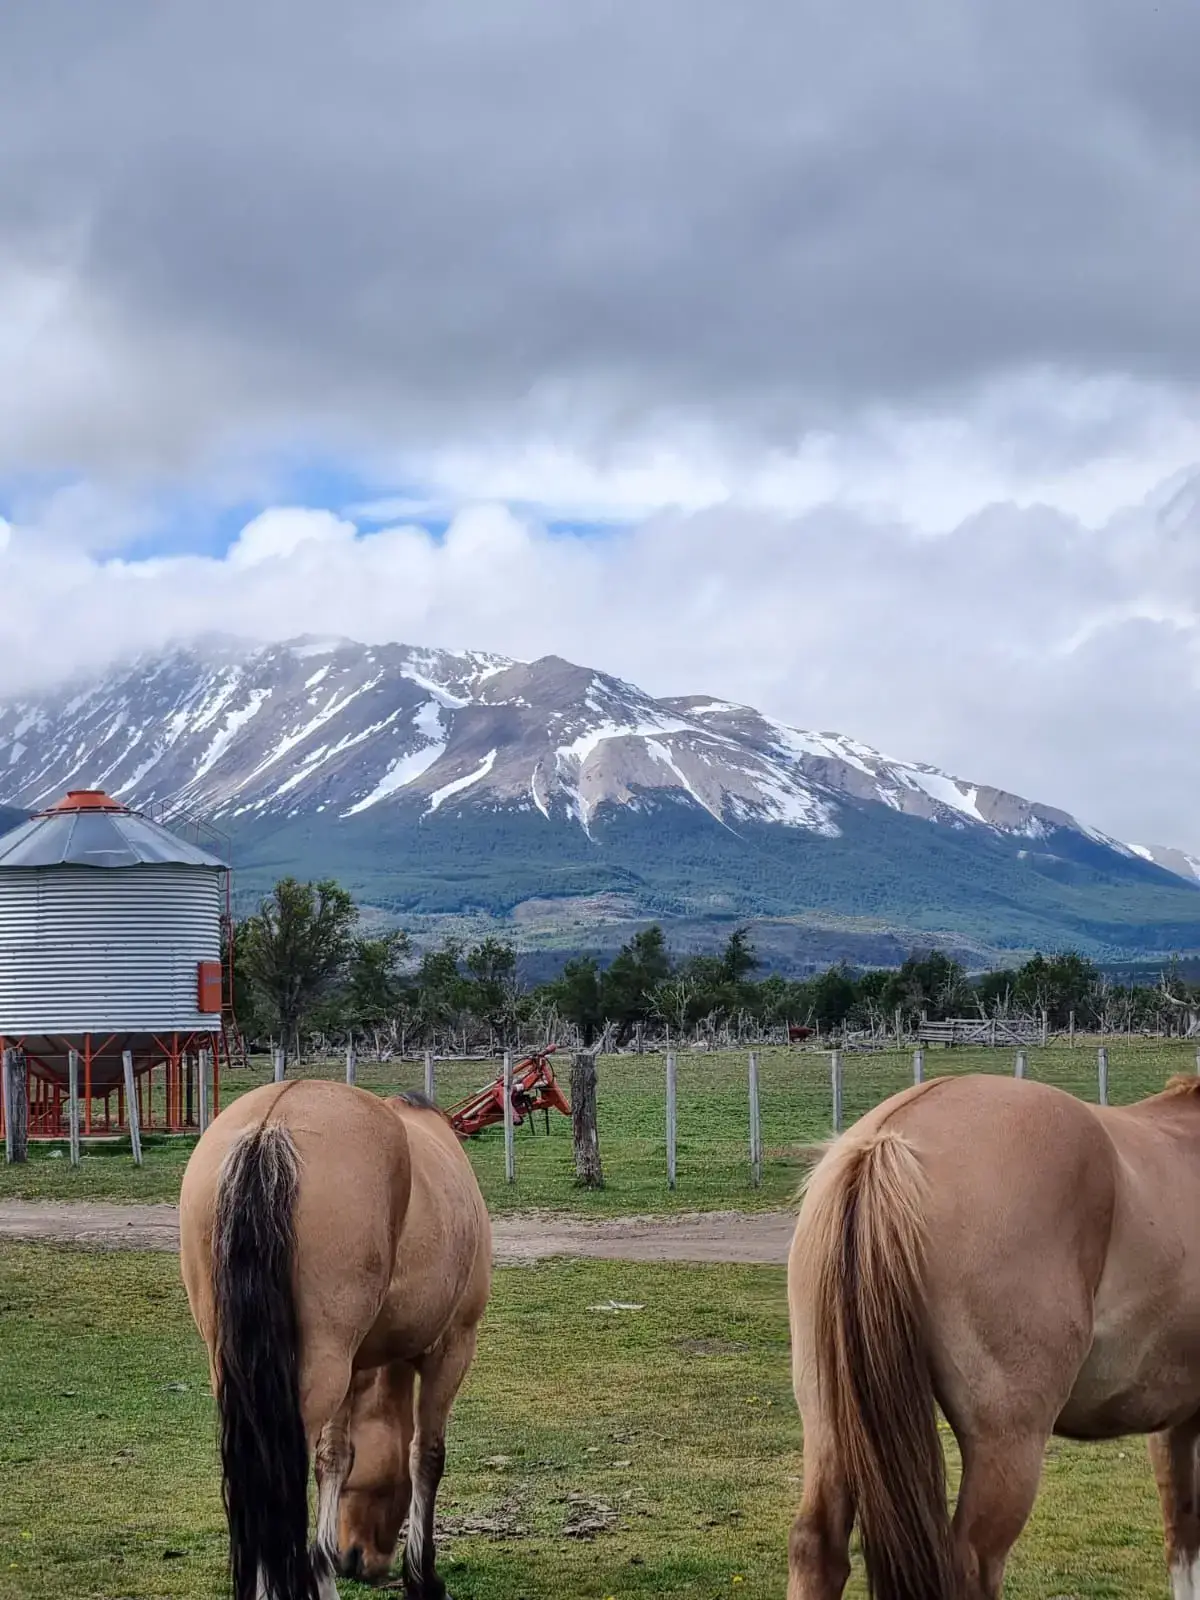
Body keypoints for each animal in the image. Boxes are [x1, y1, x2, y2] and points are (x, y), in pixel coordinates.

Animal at [179, 1079, 491, 1600]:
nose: (356, 1560)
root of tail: (270, 1127)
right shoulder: (452, 1348)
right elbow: (426, 1456)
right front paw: (424, 1578)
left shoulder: (355, 1367)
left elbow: (334, 1458)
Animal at [787, 1071, 1200, 1600]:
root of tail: (887, 1139)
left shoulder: (1175, 1424)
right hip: (1008, 1445)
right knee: (973, 1561)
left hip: (826, 1418)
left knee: (816, 1546)